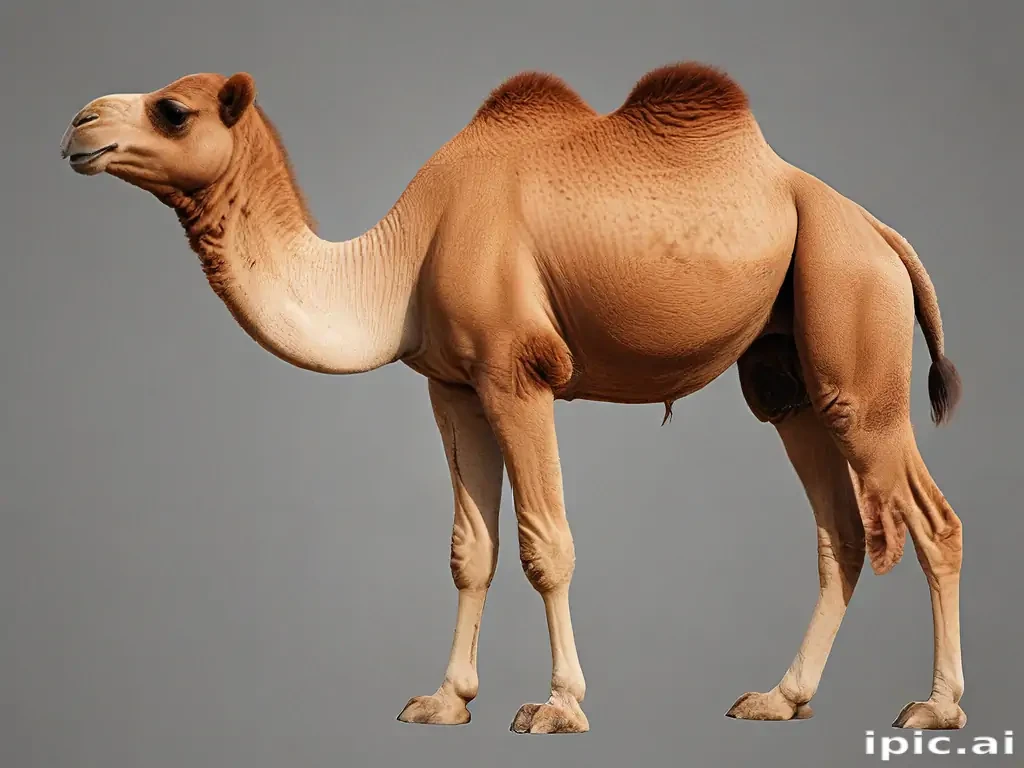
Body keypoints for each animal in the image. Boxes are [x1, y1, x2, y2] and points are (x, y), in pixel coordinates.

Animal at [59, 62, 966, 734]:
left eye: (173, 110)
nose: (78, 125)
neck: (401, 256)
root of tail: (883, 233)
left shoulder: (515, 371)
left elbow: (544, 545)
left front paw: (558, 707)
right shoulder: (453, 386)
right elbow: (472, 549)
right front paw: (443, 700)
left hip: (852, 315)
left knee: (931, 518)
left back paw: (935, 708)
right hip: (787, 372)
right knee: (841, 529)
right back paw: (779, 697)